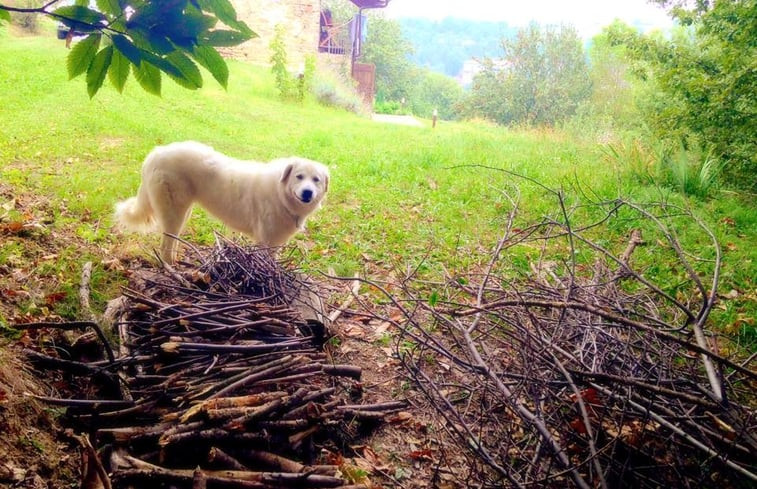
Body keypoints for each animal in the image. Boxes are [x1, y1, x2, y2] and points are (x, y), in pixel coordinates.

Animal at [114, 141, 328, 264]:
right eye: (299, 176)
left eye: (316, 180)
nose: (308, 192)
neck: (280, 193)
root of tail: (156, 153)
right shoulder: (265, 241)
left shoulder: (275, 243)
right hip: (174, 211)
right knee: (165, 245)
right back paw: (170, 268)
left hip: (183, 212)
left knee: (171, 241)